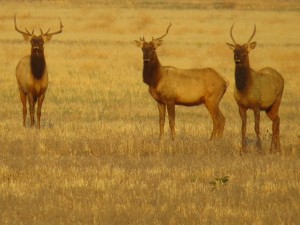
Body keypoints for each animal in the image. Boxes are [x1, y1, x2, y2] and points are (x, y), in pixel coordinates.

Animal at [227, 24, 284, 154]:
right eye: (235, 50)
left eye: (245, 51)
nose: (236, 58)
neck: (245, 88)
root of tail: (281, 77)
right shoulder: (241, 106)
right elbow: (243, 127)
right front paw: (243, 149)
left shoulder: (256, 105)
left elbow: (257, 127)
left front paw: (260, 149)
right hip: (268, 108)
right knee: (276, 119)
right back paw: (276, 148)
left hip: (277, 100)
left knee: (276, 121)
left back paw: (273, 148)